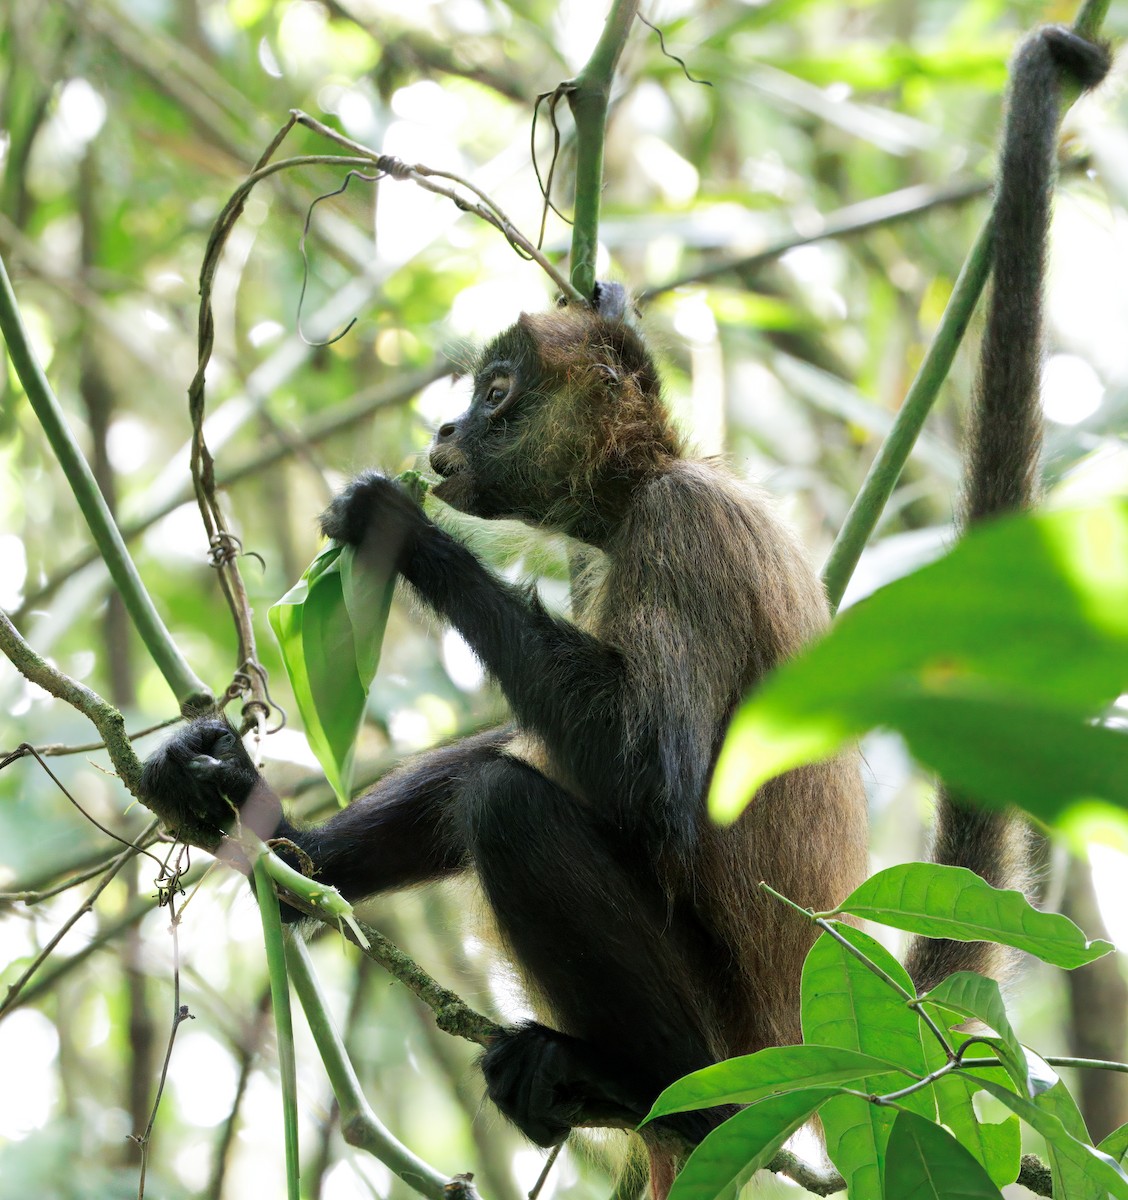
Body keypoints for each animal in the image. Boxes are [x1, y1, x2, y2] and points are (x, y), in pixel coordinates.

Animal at [140, 18, 1110, 1177]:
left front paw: (400, 533)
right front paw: (244, 808)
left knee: (508, 802)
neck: (648, 479)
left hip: (733, 1044)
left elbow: (651, 780)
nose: (443, 434)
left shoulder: (680, 530)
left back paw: (649, 1090)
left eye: (496, 392)